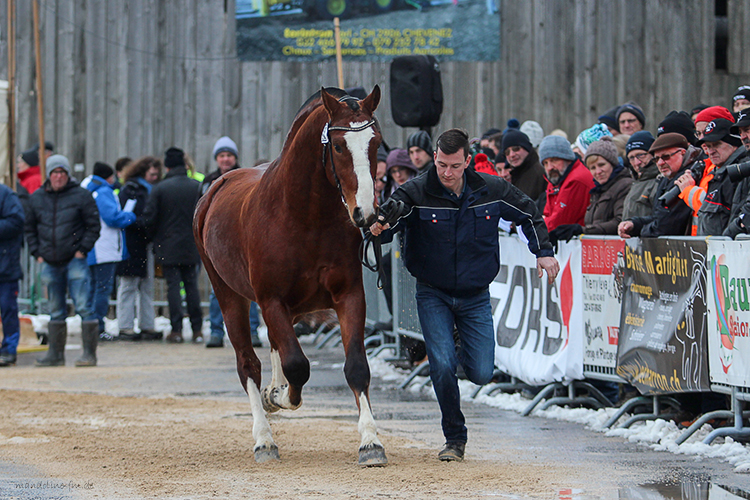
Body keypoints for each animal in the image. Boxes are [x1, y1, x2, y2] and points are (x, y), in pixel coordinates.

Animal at [193, 86, 387, 466]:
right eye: (338, 145)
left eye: (375, 142)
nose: (366, 213)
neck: (304, 216)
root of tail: (217, 185)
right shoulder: (271, 301)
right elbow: (297, 365)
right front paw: (278, 397)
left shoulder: (348, 296)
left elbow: (357, 366)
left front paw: (370, 443)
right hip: (229, 296)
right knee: (248, 363)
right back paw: (264, 438)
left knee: (273, 344)